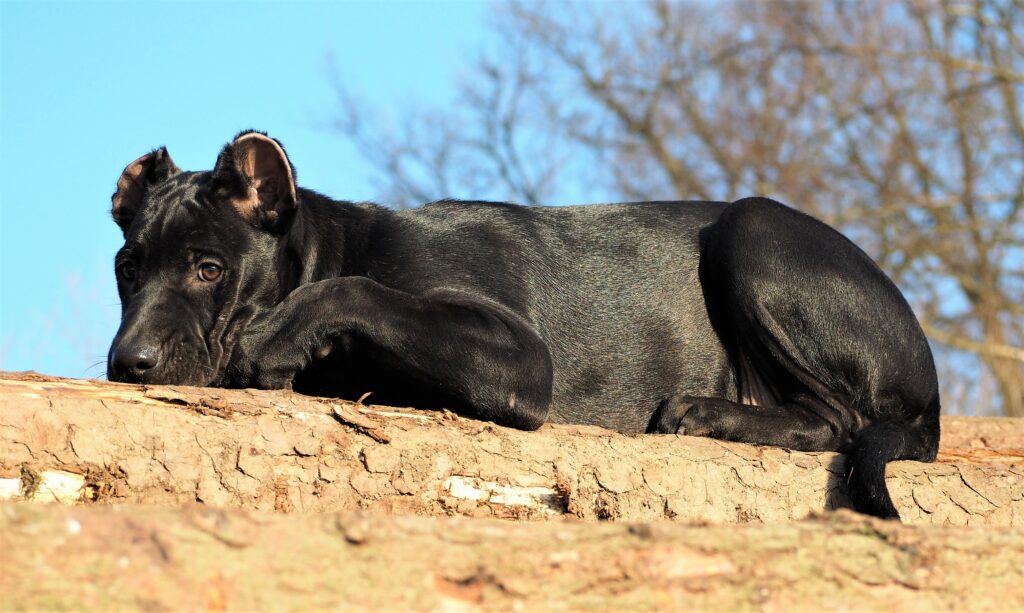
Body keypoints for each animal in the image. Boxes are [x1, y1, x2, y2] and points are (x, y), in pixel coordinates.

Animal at [108, 129, 937, 517]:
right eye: (127, 269)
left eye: (209, 268)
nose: (127, 361)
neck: (326, 246)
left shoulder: (516, 354)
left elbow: (360, 291)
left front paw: (271, 339)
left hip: (751, 230)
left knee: (836, 418)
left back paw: (706, 412)